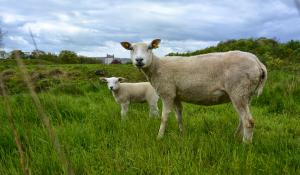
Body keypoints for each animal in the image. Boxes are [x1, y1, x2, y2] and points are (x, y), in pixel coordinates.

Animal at [119, 39, 268, 143]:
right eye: (131, 48)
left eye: (149, 48)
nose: (139, 60)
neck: (157, 67)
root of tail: (258, 63)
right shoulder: (176, 95)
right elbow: (179, 116)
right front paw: (182, 134)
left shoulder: (167, 93)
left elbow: (164, 118)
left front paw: (159, 137)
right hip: (246, 94)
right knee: (242, 119)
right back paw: (236, 137)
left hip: (238, 90)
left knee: (248, 121)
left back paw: (245, 145)